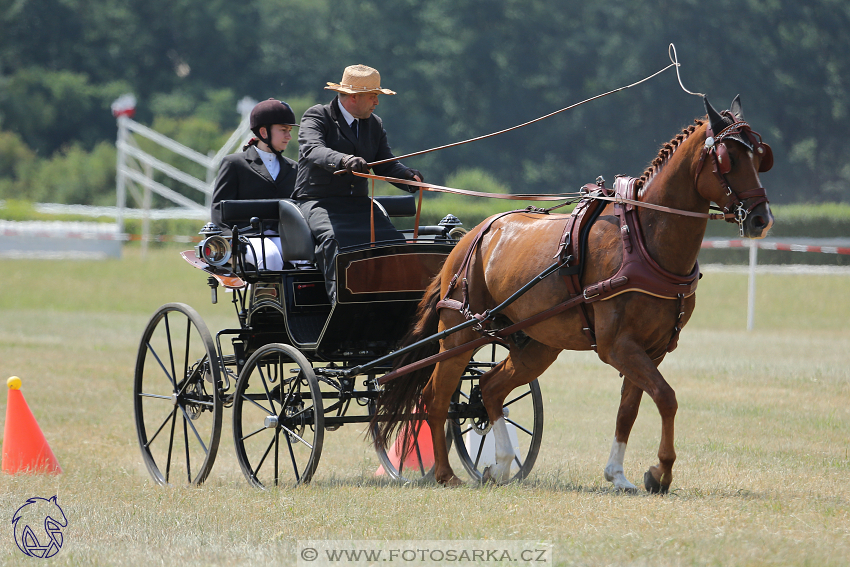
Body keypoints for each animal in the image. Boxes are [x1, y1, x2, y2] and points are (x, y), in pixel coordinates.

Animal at [374, 96, 772, 492]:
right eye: (728, 159)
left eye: (760, 158)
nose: (761, 219)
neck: (642, 240)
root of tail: (468, 237)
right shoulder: (618, 346)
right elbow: (666, 397)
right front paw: (661, 471)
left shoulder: (652, 348)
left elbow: (630, 409)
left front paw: (619, 474)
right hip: (462, 331)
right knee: (437, 397)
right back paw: (445, 473)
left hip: (536, 343)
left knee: (489, 388)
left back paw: (500, 466)